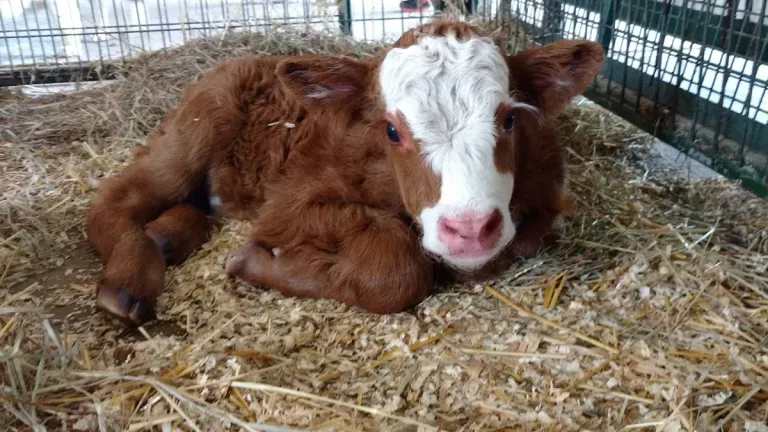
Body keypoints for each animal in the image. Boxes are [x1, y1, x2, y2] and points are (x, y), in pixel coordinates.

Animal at [84, 20, 605, 325]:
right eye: (392, 131)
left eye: (510, 118)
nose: (470, 228)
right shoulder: (289, 204)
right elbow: (397, 267)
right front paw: (254, 261)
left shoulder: (547, 196)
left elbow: (525, 240)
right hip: (197, 128)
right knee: (116, 199)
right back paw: (129, 280)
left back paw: (166, 237)